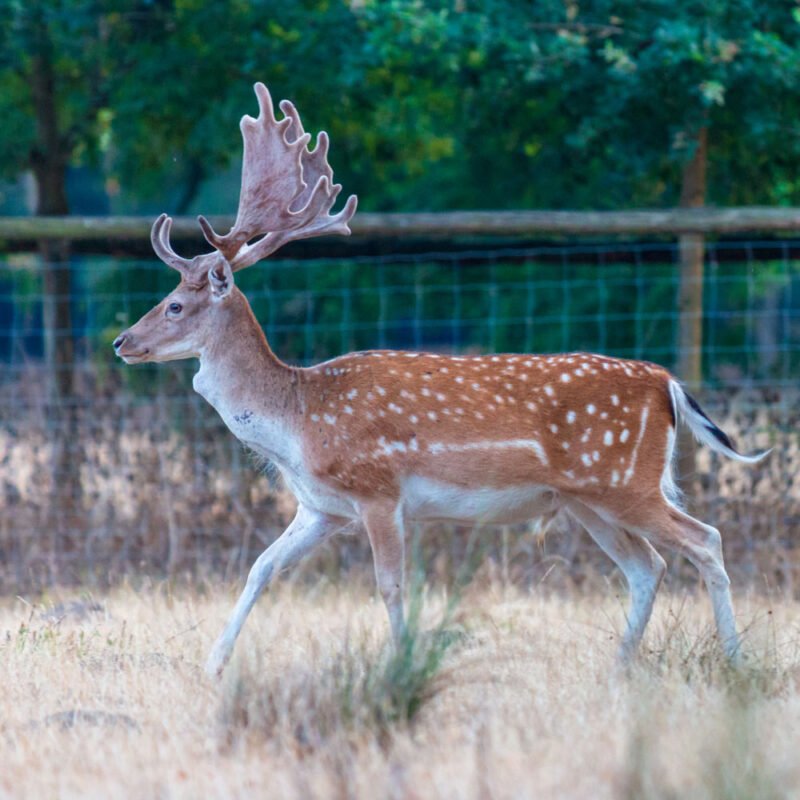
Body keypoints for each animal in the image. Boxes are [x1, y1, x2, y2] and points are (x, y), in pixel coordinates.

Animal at [113, 83, 768, 678]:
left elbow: (391, 587)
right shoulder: (321, 507)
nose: (122, 341)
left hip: (625, 482)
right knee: (647, 566)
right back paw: (619, 667)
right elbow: (260, 567)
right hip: (588, 499)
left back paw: (737, 662)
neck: (298, 421)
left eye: (174, 305)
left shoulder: (378, 489)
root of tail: (668, 384)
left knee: (703, 540)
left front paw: (400, 667)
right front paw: (213, 665)